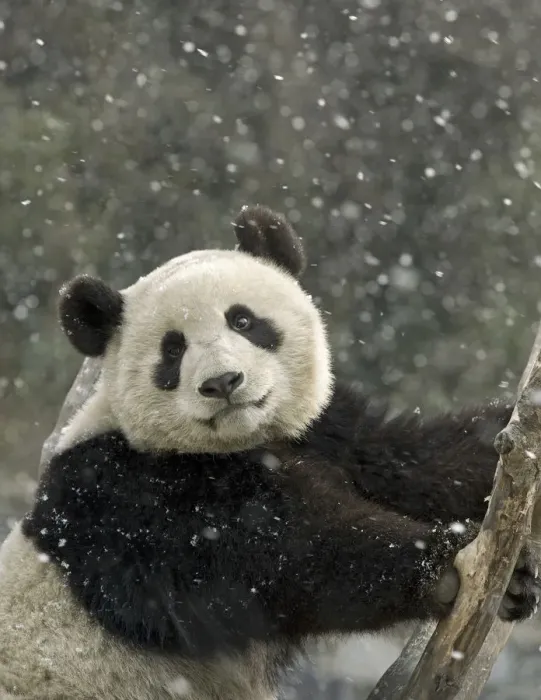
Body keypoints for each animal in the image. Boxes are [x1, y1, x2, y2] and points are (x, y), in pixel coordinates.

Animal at [0, 205, 539, 700]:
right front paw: (447, 566)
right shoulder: (122, 499)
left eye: (243, 320)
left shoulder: (324, 432)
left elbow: (412, 460)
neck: (243, 442)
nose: (222, 382)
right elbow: (279, 552)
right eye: (172, 350)